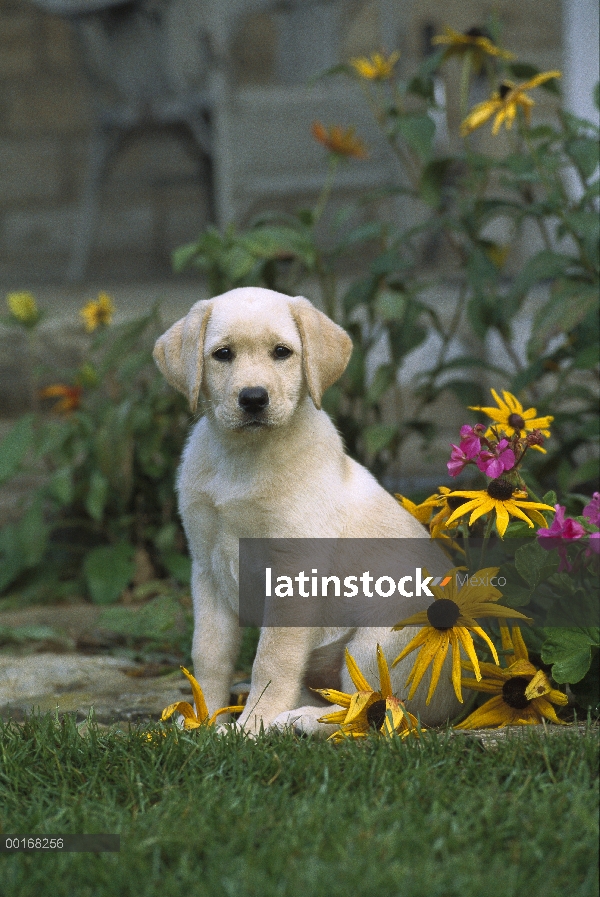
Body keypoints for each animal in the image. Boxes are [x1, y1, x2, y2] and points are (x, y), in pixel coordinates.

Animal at [154, 288, 460, 736]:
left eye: (282, 352)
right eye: (222, 354)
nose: (253, 398)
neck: (245, 457)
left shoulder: (292, 574)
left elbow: (271, 659)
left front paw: (253, 725)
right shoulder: (207, 568)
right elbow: (208, 654)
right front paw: (203, 720)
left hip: (377, 641)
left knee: (376, 707)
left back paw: (300, 720)